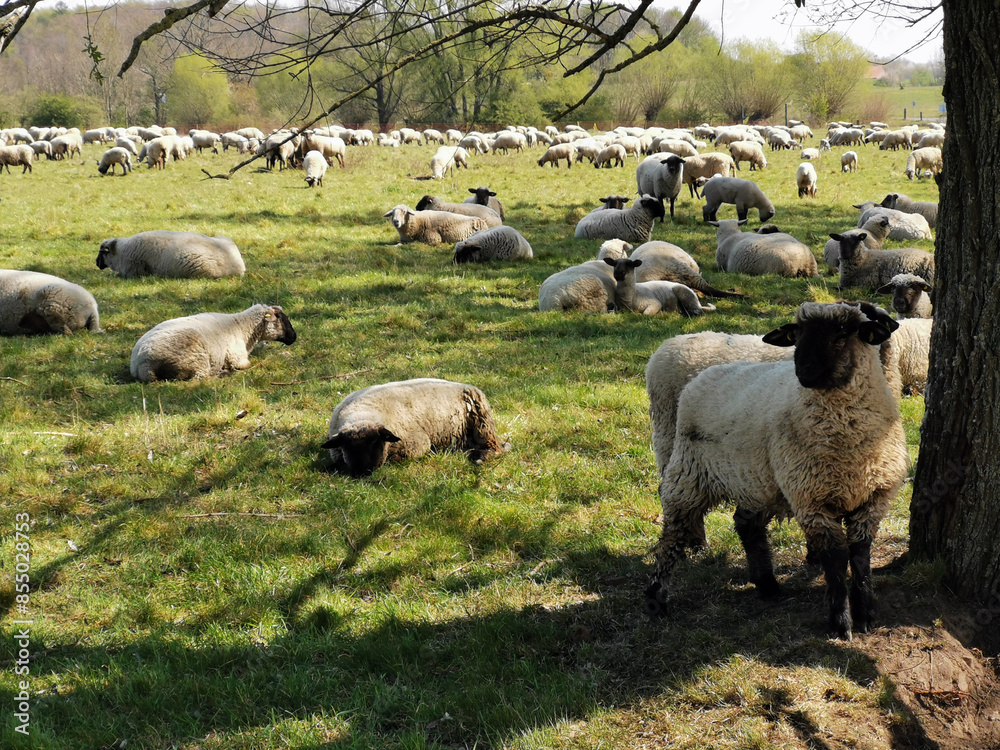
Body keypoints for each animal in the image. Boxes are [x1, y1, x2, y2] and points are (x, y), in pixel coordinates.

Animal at [130, 304, 296, 382]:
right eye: (281, 318)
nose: (294, 337)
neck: (242, 327)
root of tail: (143, 364)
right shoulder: (237, 358)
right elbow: (245, 364)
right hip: (195, 359)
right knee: (200, 377)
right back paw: (222, 373)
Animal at [321, 378, 507, 476]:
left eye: (375, 443)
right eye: (347, 446)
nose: (362, 472)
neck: (363, 412)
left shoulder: (418, 444)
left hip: (483, 427)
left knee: (497, 449)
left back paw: (480, 458)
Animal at [645, 301, 909, 640]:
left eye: (842, 335)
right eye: (797, 335)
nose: (803, 371)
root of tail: (703, 376)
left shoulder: (873, 498)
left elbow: (861, 555)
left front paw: (866, 614)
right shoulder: (811, 500)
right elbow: (836, 559)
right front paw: (841, 623)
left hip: (757, 481)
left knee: (746, 526)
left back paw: (767, 585)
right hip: (688, 473)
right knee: (671, 536)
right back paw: (657, 597)